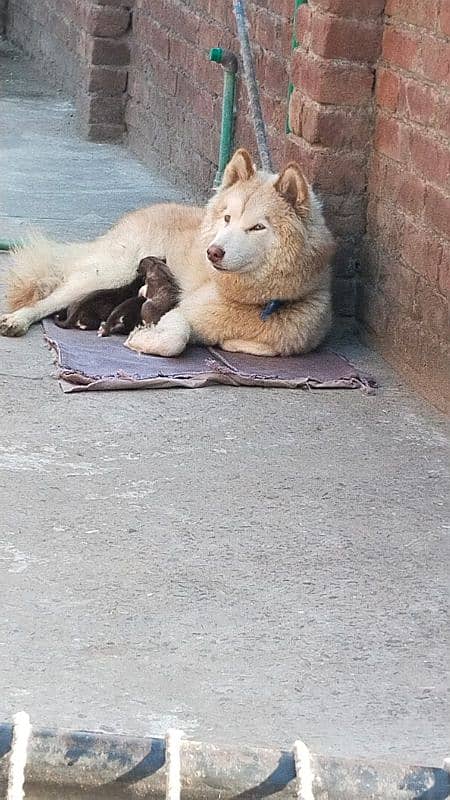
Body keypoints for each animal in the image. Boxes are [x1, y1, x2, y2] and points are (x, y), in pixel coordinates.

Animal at [0, 148, 334, 354]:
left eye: (257, 227)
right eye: (227, 219)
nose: (213, 252)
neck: (254, 301)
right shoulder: (180, 311)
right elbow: (175, 339)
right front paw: (142, 338)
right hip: (108, 273)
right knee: (46, 300)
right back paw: (17, 320)